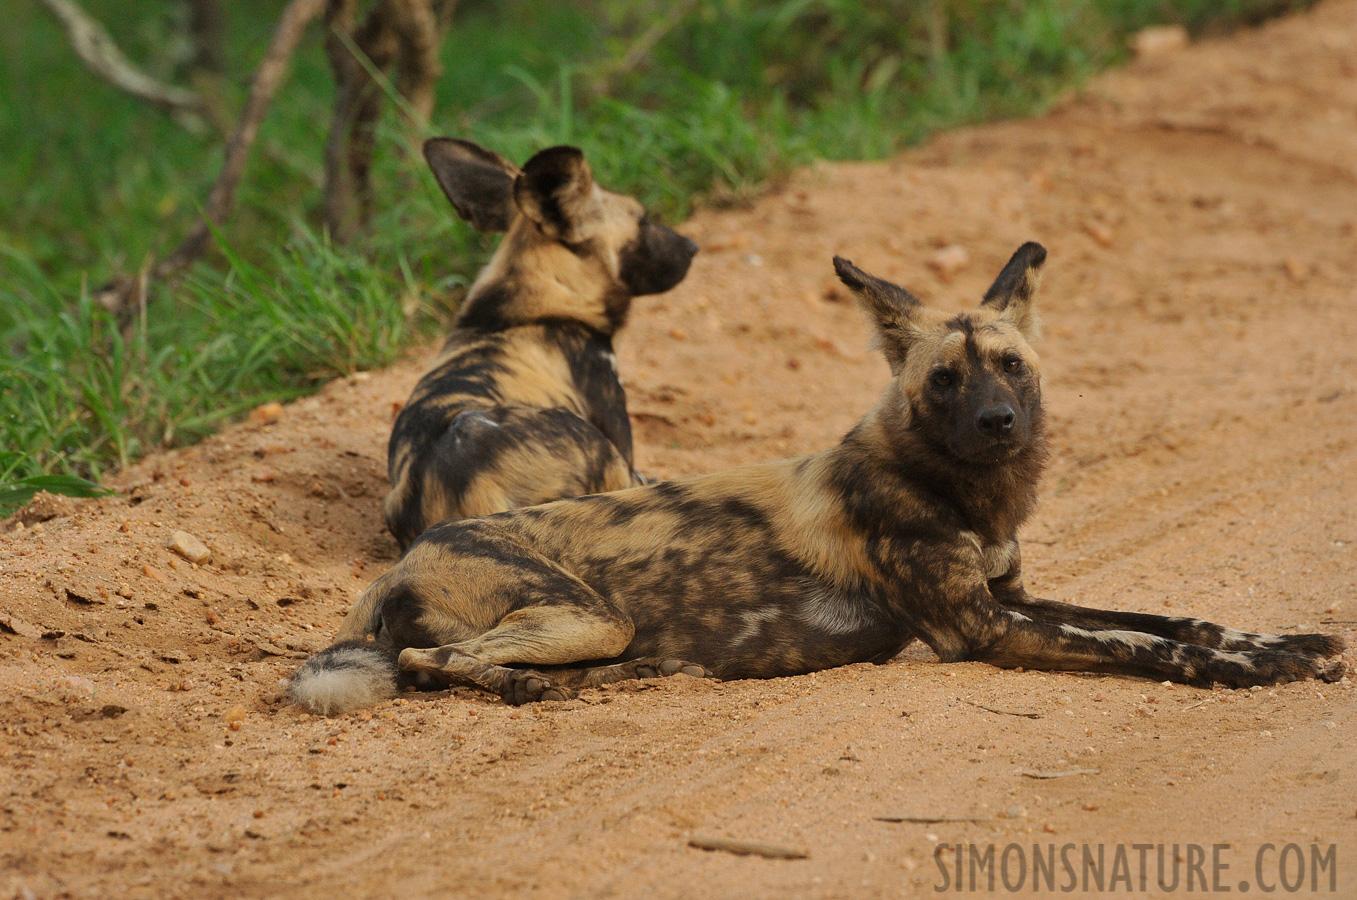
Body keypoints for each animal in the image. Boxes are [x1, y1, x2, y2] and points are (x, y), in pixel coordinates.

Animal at [289, 242, 1346, 716]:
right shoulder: (982, 628)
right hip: (586, 613)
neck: (962, 493)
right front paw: (1257, 669)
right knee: (431, 665)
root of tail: (403, 558)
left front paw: (1285, 642)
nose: (997, 424)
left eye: (1011, 367)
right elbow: (1149, 645)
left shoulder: (1014, 595)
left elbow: (1177, 619)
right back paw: (524, 687)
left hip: (590, 623)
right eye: (943, 380)